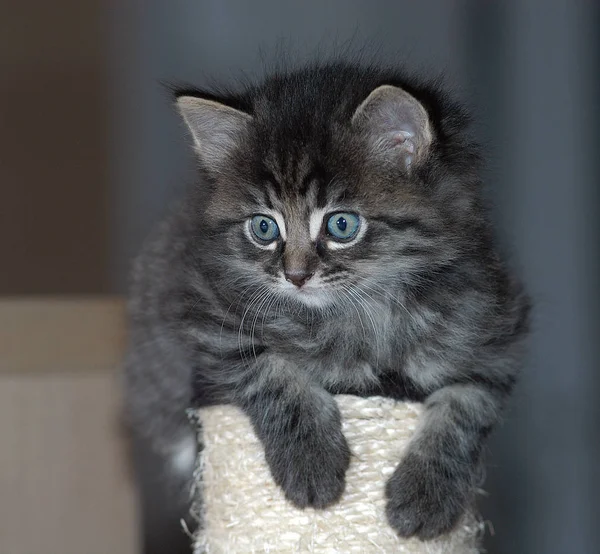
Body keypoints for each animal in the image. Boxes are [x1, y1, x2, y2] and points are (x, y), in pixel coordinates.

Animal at [123, 60, 528, 548]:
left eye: (341, 225)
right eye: (264, 228)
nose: (295, 275)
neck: (365, 311)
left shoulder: (496, 336)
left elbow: (464, 407)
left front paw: (425, 494)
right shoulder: (208, 323)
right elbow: (271, 372)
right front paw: (311, 464)